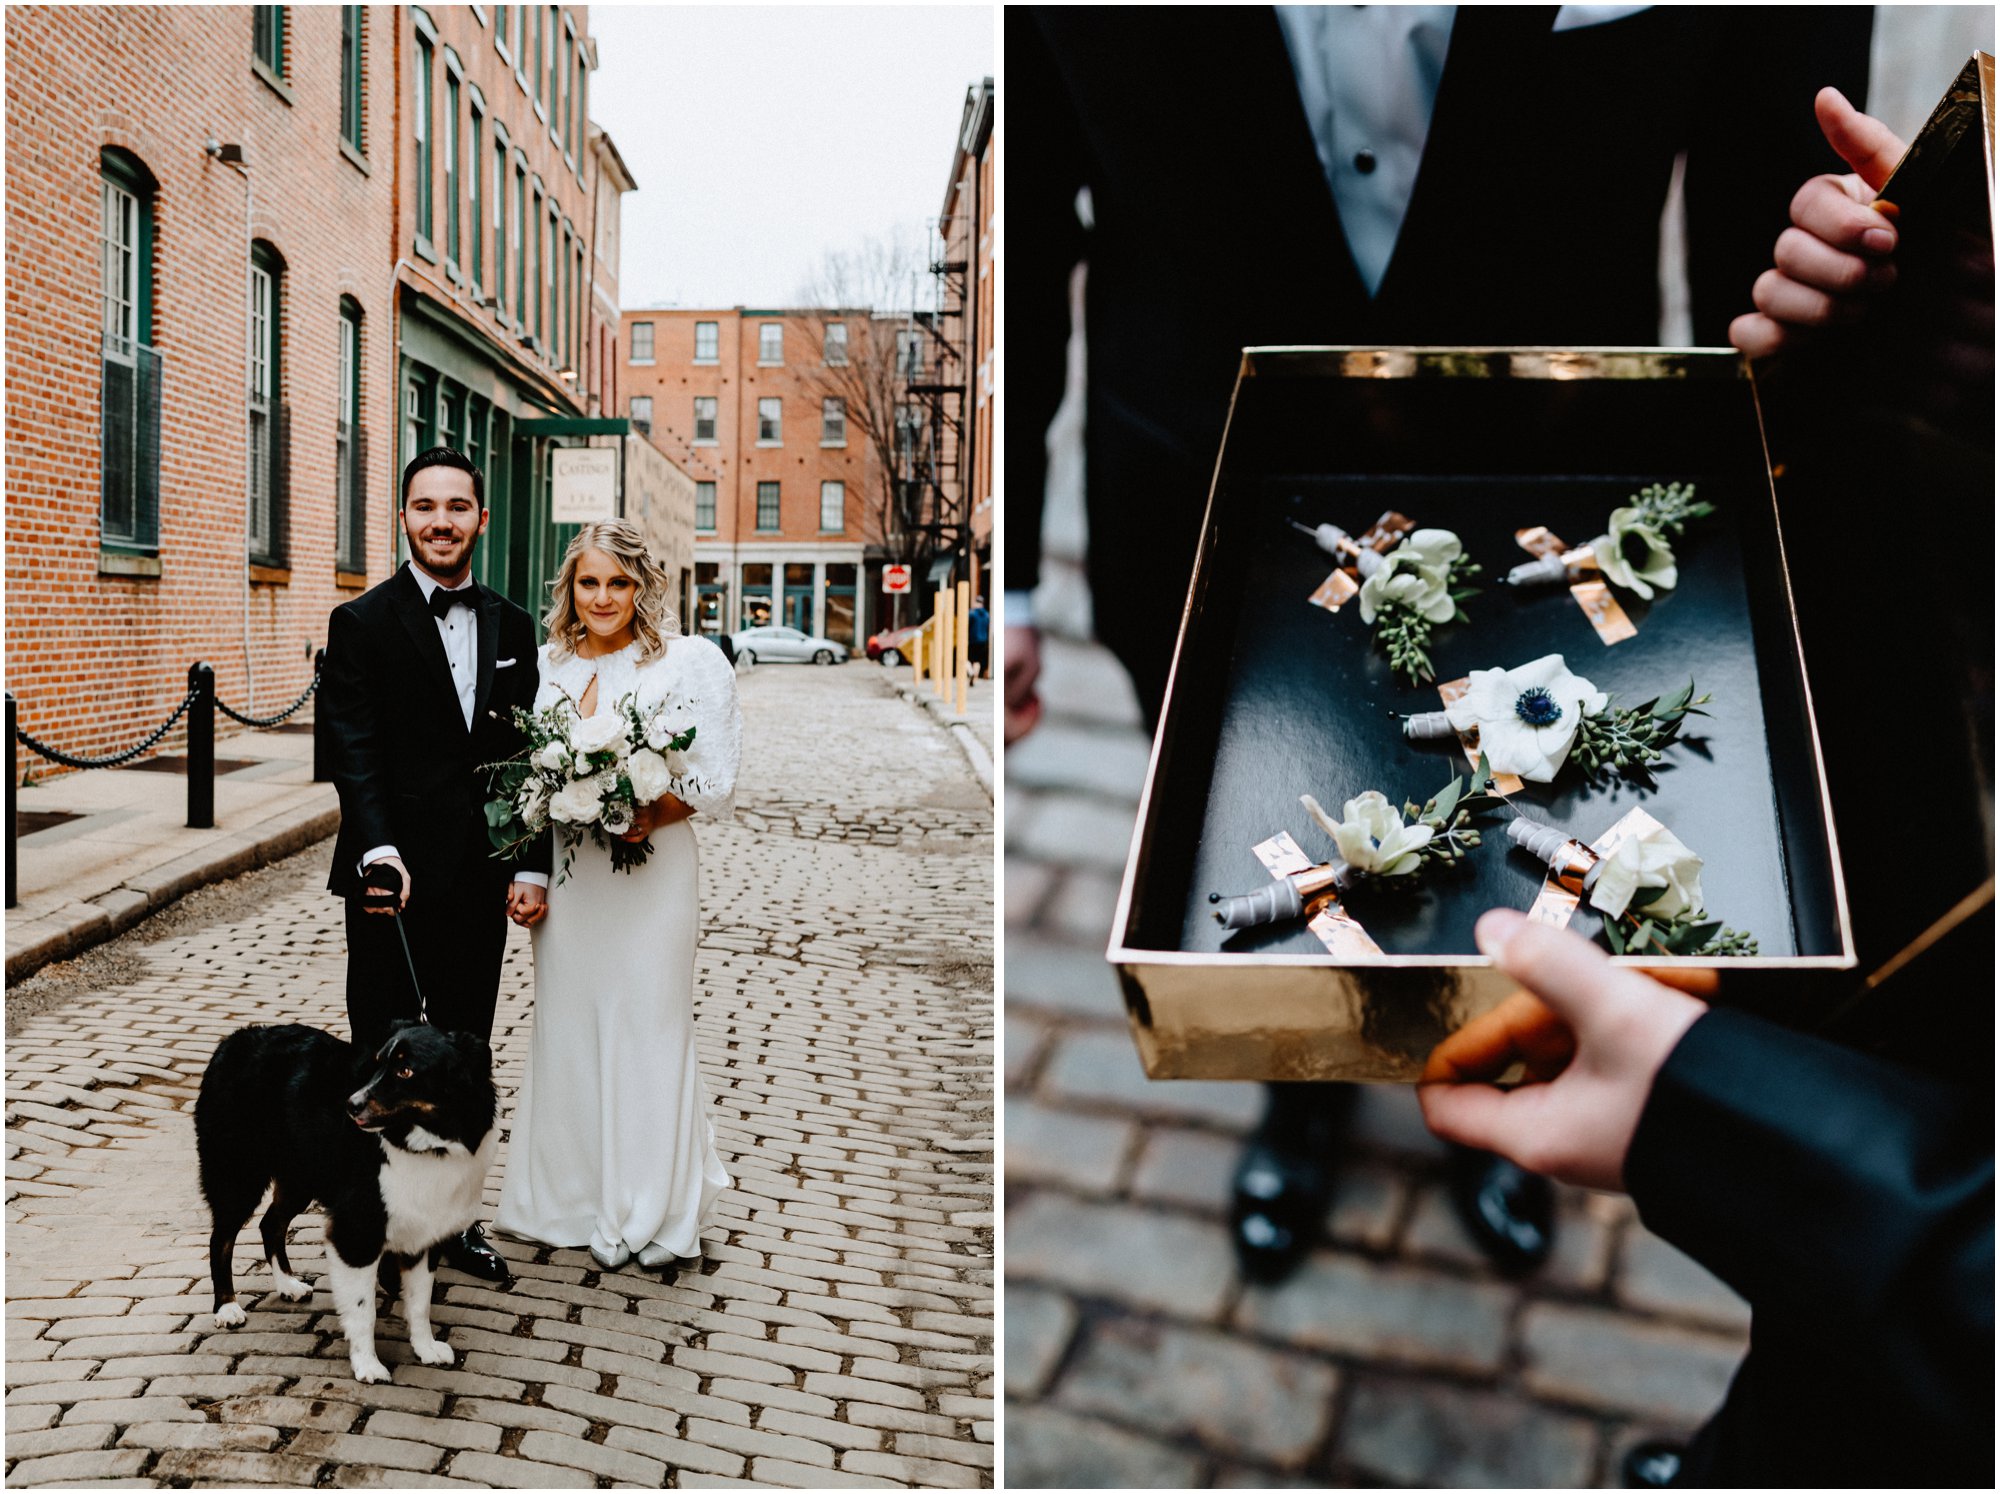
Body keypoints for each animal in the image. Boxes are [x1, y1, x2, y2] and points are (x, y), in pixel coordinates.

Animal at [193, 1024, 498, 1384]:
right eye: (378, 1064)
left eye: (405, 1071)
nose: (350, 1105)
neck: (425, 1141)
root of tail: (232, 1040)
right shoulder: (356, 1232)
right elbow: (363, 1310)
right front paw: (367, 1365)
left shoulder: (425, 1231)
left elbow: (420, 1302)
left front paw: (425, 1348)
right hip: (239, 1177)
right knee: (221, 1239)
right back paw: (226, 1306)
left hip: (301, 1176)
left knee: (270, 1224)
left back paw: (287, 1284)